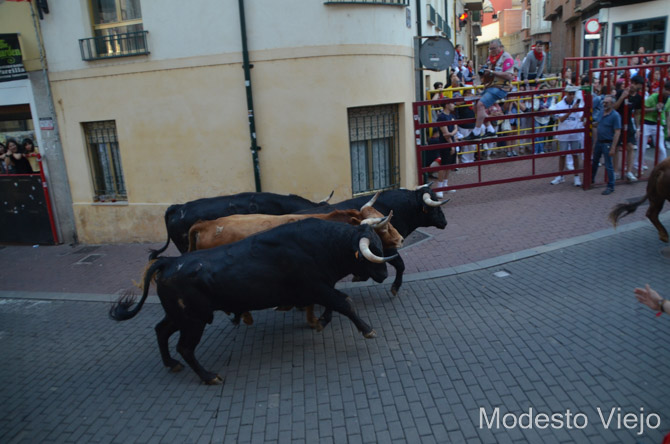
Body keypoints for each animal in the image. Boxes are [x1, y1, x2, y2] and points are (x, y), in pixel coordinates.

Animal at [110, 219, 396, 384]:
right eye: (373, 251)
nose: (384, 275)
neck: (323, 244)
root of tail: (168, 263)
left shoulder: (320, 289)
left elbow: (334, 304)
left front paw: (321, 321)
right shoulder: (316, 287)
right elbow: (344, 302)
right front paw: (367, 330)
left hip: (179, 316)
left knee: (161, 331)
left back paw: (171, 364)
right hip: (193, 321)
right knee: (185, 348)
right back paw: (209, 376)